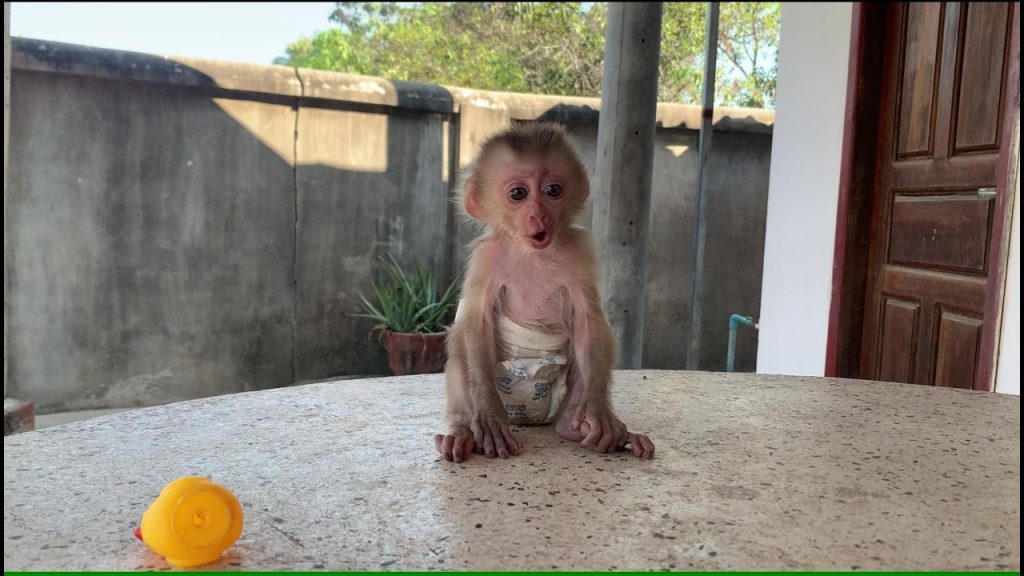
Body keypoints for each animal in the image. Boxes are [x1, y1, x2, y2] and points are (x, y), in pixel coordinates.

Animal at [434, 121, 655, 463]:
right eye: (518, 194)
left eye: (553, 190)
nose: (538, 215)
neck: (531, 252)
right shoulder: (486, 257)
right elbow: (474, 325)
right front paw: (489, 417)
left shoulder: (580, 251)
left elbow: (590, 323)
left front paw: (598, 410)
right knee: (459, 345)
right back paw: (461, 434)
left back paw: (576, 427)